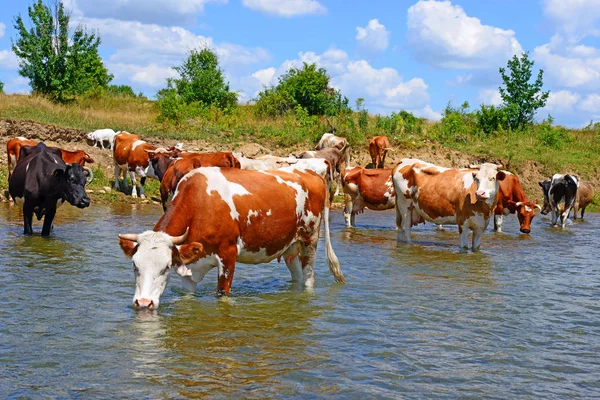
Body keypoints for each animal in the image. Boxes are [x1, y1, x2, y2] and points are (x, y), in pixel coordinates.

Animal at [118, 167, 344, 308]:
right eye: (135, 265)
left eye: (165, 267)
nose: (144, 303)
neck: (200, 204)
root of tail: (310, 173)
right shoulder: (188, 266)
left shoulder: (228, 255)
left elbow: (223, 295)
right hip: (290, 247)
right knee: (296, 276)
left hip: (309, 241)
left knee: (308, 279)